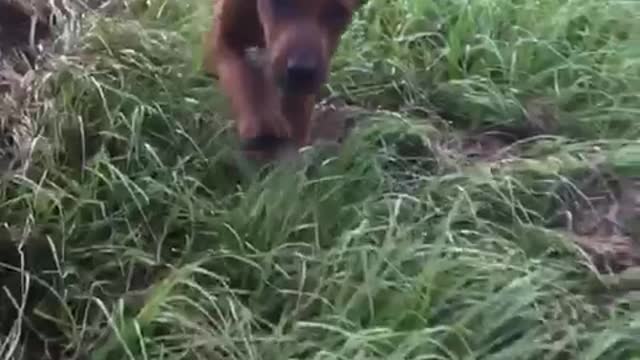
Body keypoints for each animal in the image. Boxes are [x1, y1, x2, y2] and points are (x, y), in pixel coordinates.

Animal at [204, 0, 360, 160]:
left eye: (338, 12)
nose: (301, 71)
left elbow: (297, 111)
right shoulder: (226, 38)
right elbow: (245, 81)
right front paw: (262, 125)